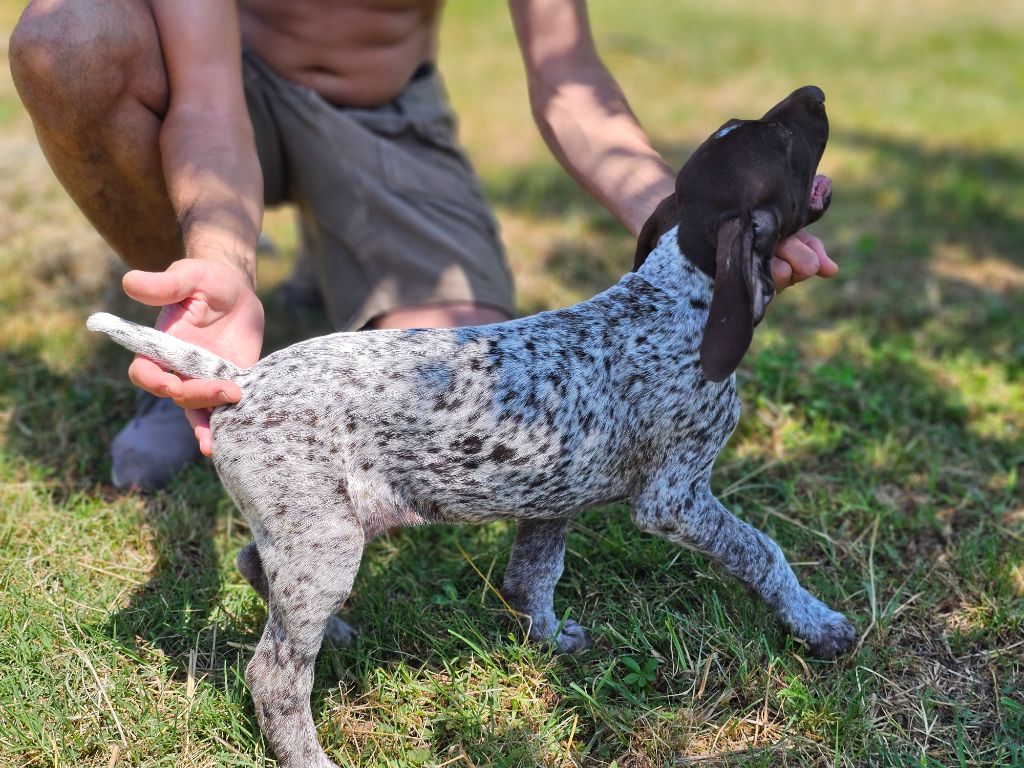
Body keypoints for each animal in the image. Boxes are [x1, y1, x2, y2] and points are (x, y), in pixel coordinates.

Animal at [87, 85, 854, 768]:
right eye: (783, 142)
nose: (816, 94)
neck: (676, 296)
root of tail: (243, 381)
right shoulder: (674, 499)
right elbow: (764, 554)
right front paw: (816, 623)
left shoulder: (553, 494)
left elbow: (533, 577)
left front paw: (550, 641)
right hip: (323, 542)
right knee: (274, 674)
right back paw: (309, 753)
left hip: (315, 530)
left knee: (258, 570)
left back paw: (337, 631)